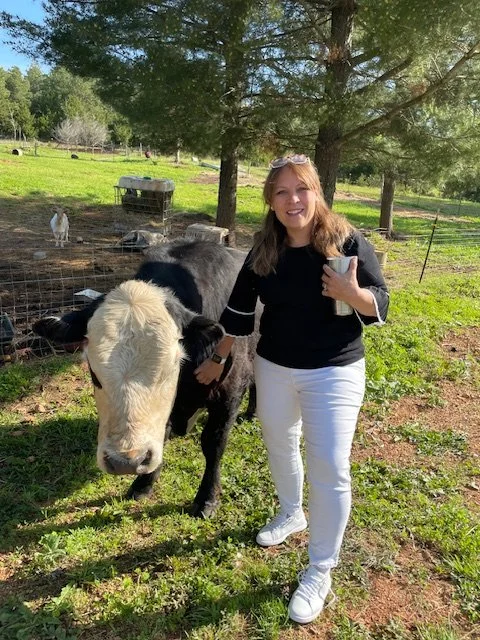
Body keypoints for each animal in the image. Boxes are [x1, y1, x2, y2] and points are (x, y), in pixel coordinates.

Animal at [33, 240, 257, 517]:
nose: (126, 461)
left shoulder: (230, 393)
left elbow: (213, 444)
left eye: (170, 368)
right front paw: (143, 484)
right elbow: (162, 434)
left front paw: (207, 498)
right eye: (94, 374)